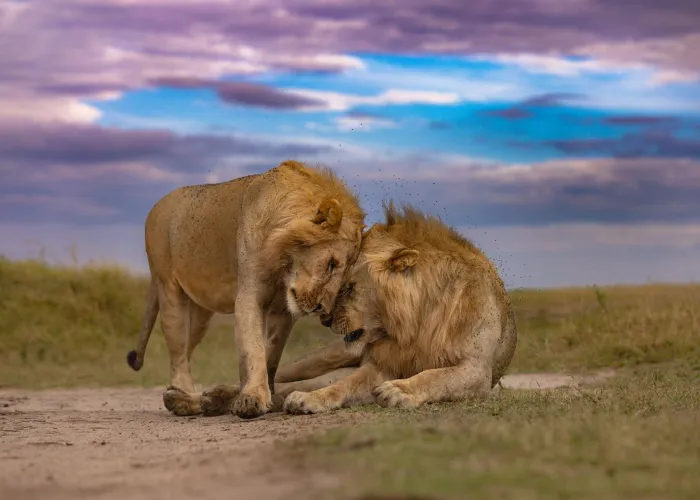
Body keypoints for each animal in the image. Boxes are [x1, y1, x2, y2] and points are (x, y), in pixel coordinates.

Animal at [125, 160, 365, 419]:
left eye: (344, 275)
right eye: (331, 263)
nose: (323, 310)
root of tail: (156, 205)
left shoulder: (283, 311)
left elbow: (270, 353)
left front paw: (261, 394)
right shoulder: (250, 295)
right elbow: (254, 348)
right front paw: (253, 398)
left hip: (200, 315)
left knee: (187, 348)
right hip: (168, 288)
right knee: (178, 351)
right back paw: (182, 395)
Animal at [200, 203, 517, 416]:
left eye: (349, 287)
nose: (325, 320)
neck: (412, 326)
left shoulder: (476, 370)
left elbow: (435, 377)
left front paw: (399, 390)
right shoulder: (380, 366)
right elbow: (342, 386)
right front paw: (309, 400)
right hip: (321, 358)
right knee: (277, 377)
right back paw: (219, 397)